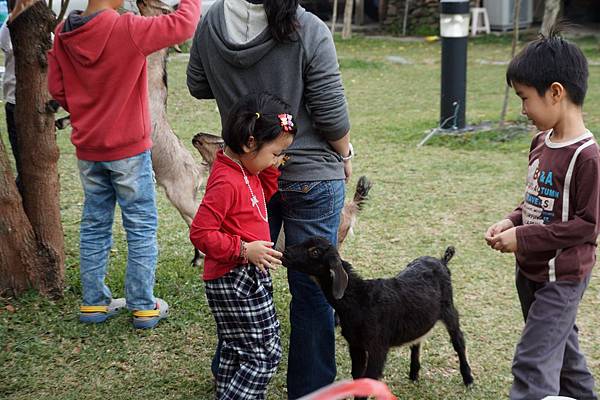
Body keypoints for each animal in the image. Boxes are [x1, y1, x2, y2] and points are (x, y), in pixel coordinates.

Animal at [282, 234, 474, 394]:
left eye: (314, 251)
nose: (285, 253)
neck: (360, 300)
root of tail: (442, 260)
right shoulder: (355, 345)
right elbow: (357, 377)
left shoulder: (378, 347)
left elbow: (369, 379)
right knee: (416, 341)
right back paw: (414, 373)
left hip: (449, 310)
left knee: (459, 342)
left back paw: (468, 379)